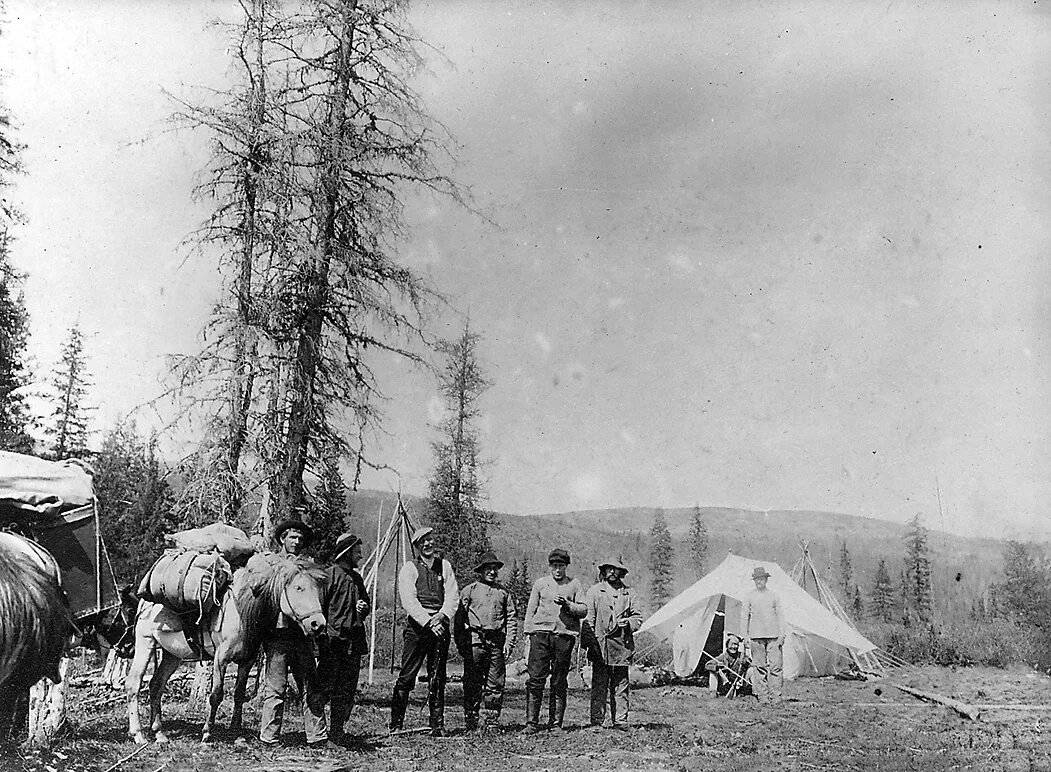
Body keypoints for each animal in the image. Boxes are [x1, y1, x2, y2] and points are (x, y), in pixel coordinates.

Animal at [125, 554, 325, 747]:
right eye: (298, 588)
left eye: (317, 589)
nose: (318, 624)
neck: (240, 612)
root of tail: (145, 603)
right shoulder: (221, 659)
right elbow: (216, 695)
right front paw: (207, 734)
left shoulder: (246, 661)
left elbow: (239, 695)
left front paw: (236, 734)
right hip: (145, 643)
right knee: (133, 685)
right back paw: (138, 735)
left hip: (172, 654)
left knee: (156, 685)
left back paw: (159, 733)